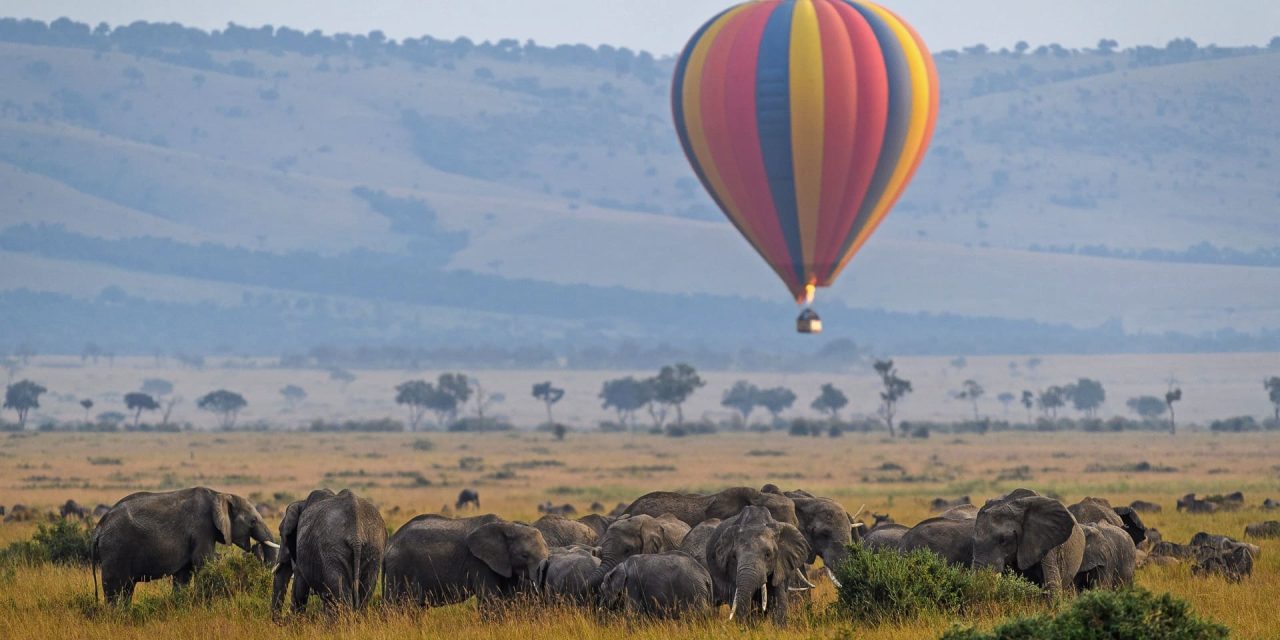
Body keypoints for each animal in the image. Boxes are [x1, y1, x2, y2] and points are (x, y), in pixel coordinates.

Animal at [92, 486, 277, 601]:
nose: (255, 547)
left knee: (127, 588)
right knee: (115, 588)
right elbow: (203, 563)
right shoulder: (202, 528)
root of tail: (99, 527)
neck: (219, 494)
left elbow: (183, 574)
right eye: (253, 521)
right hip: (115, 549)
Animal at [376, 512, 542, 606]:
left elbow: (507, 596)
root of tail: (389, 546)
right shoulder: (479, 562)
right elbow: (490, 597)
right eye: (524, 555)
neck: (508, 525)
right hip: (400, 569)